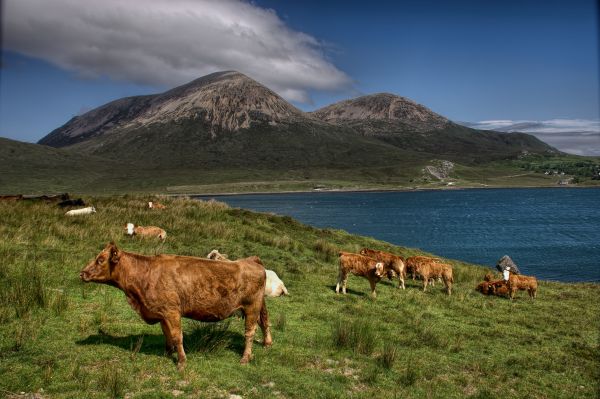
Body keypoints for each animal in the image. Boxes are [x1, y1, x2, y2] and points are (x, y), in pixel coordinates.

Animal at [78, 242, 270, 370]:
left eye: (100, 260)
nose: (82, 273)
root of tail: (250, 260)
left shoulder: (172, 312)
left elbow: (177, 336)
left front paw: (181, 362)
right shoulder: (161, 313)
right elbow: (167, 335)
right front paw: (167, 353)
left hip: (251, 307)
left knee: (250, 332)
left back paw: (245, 358)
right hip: (257, 307)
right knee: (264, 322)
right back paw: (265, 344)